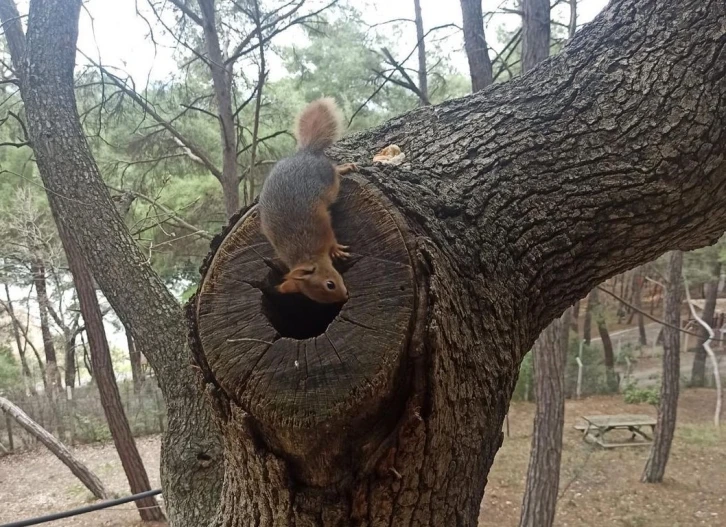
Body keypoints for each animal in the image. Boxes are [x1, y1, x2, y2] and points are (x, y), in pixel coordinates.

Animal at [258, 98, 358, 306]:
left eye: (329, 284)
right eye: (318, 299)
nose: (345, 296)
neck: (307, 251)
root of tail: (305, 152)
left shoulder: (322, 228)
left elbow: (331, 238)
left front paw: (336, 250)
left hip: (328, 181)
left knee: (334, 170)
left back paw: (344, 168)